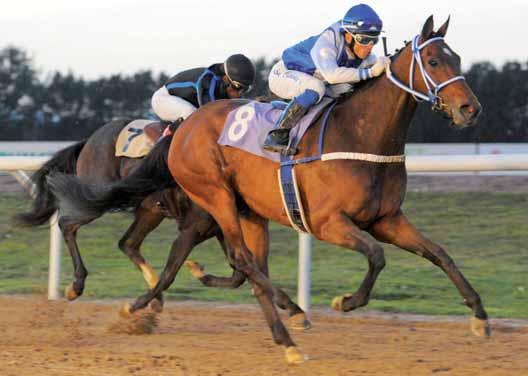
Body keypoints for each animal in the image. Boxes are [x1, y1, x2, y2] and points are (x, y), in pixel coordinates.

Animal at [50, 16, 490, 362]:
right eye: (433, 61)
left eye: (457, 58)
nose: (470, 109)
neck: (361, 134)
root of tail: (185, 129)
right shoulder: (327, 222)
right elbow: (377, 257)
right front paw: (345, 301)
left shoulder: (386, 219)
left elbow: (439, 254)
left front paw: (480, 318)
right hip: (213, 197)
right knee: (239, 261)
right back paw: (285, 336)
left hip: (242, 211)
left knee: (232, 262)